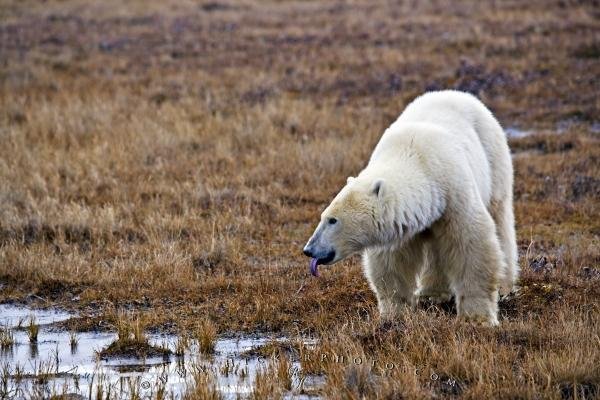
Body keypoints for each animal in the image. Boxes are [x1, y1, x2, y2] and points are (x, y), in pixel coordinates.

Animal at [302, 90, 516, 324]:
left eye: (333, 220)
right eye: (323, 216)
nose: (309, 250)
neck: (415, 158)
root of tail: (460, 94)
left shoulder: (454, 192)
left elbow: (472, 244)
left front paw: (478, 318)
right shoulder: (401, 223)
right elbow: (392, 263)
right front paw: (393, 314)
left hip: (493, 157)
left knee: (499, 217)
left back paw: (505, 285)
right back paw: (431, 294)